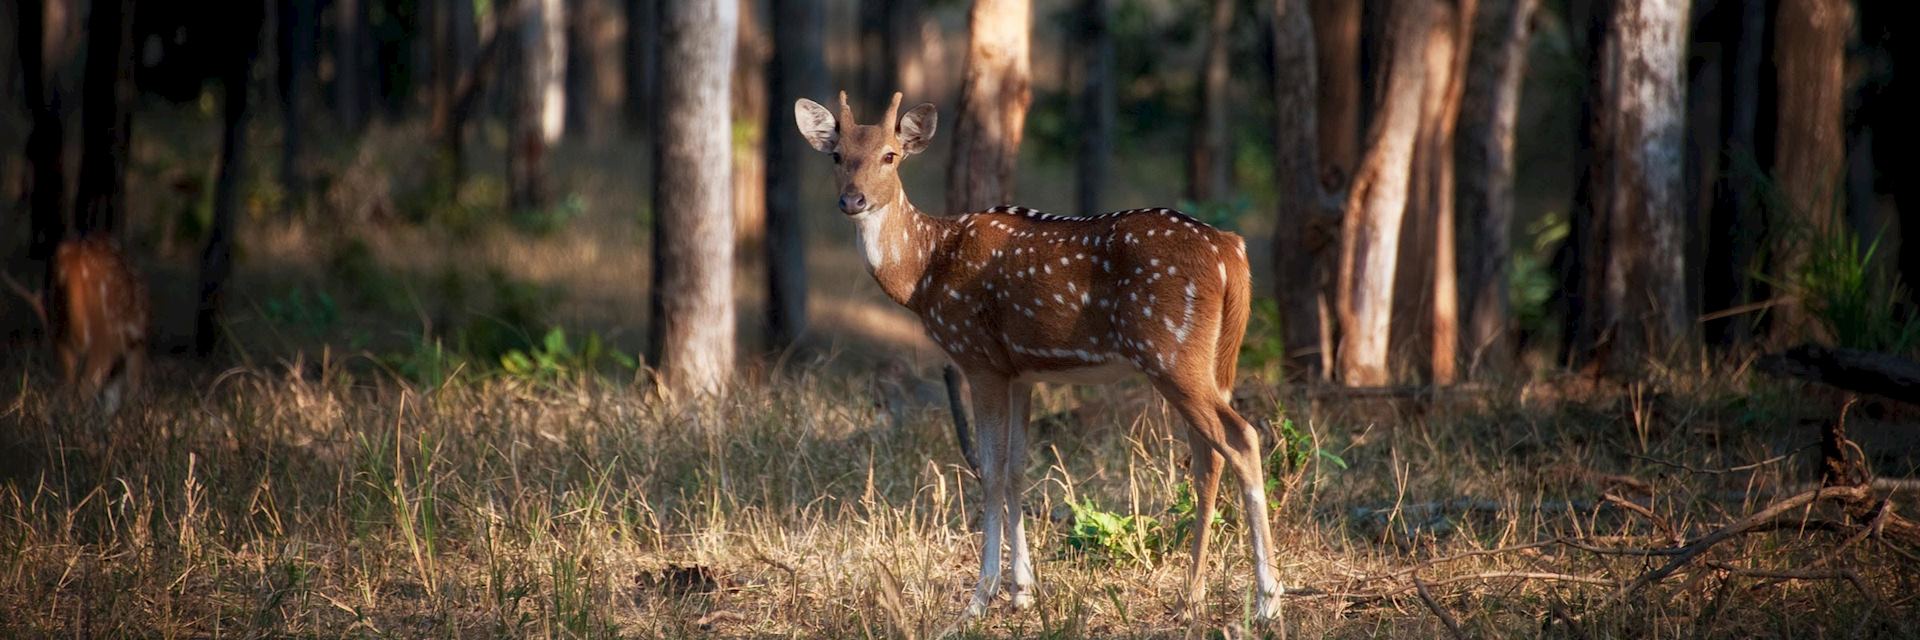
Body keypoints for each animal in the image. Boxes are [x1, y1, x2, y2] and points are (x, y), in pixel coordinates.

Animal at [3, 234, 151, 409]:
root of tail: (69, 262)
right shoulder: (137, 342)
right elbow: (132, 389)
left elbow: (112, 397)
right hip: (105, 335)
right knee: (86, 385)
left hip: (59, 330)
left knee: (70, 384)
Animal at [787, 90, 1282, 618]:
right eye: (838, 156)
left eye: (890, 155)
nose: (852, 200)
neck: (925, 272)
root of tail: (1232, 251)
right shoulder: (1021, 370)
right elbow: (1017, 468)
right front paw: (1022, 590)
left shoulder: (977, 357)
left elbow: (988, 469)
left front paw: (979, 598)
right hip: (1211, 360)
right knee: (1208, 458)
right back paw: (1193, 595)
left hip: (1170, 352)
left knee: (1241, 439)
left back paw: (1267, 600)